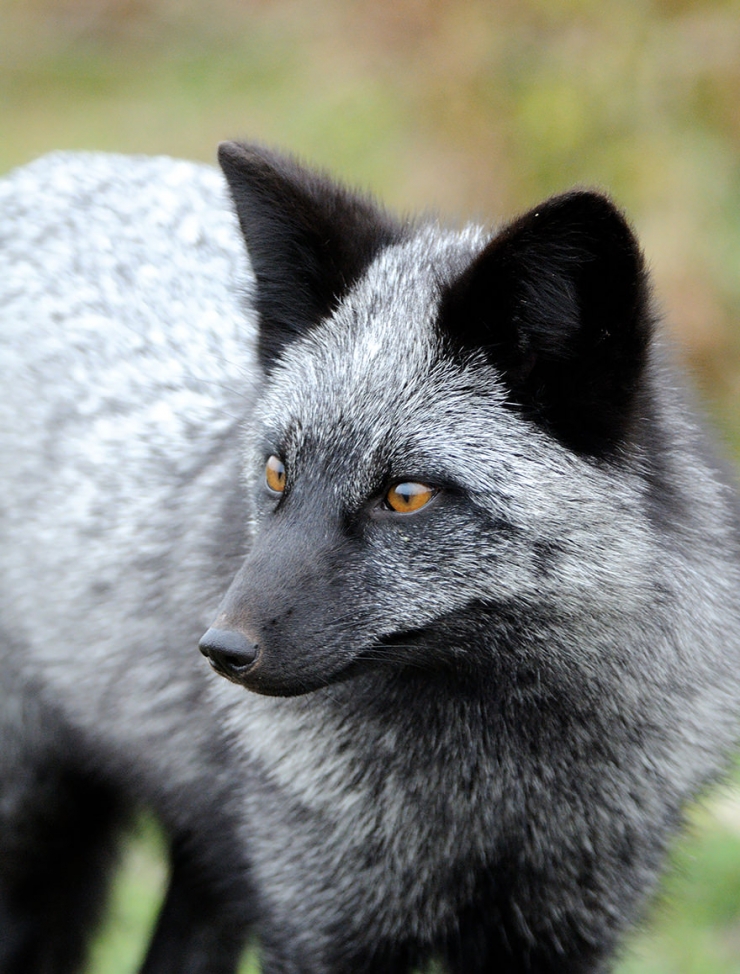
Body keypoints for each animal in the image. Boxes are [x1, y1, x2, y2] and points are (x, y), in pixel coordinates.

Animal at [1, 141, 740, 974]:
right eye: (276, 473)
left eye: (406, 495)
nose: (220, 651)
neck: (494, 801)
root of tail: (55, 166)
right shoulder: (317, 926)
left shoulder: (561, 933)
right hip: (40, 829)